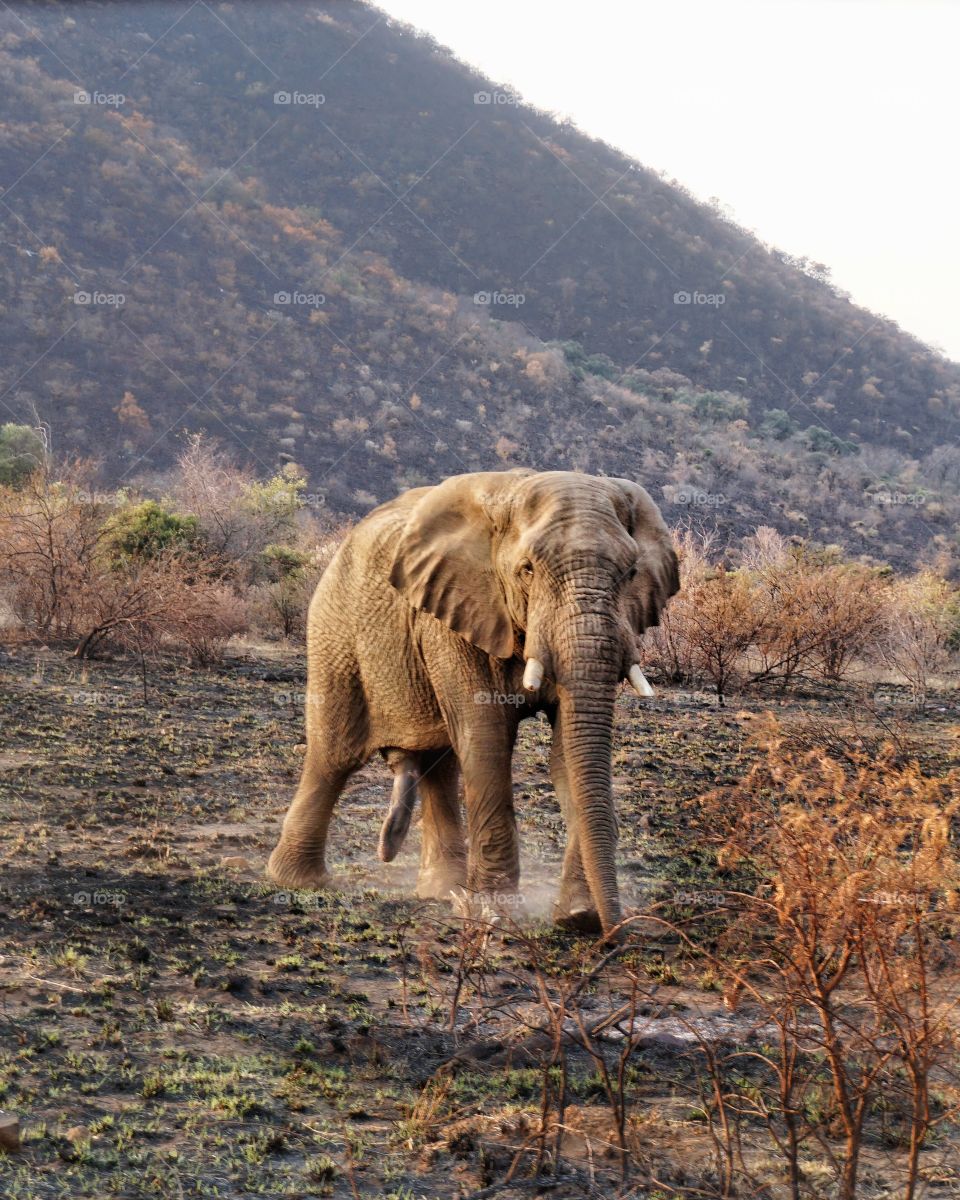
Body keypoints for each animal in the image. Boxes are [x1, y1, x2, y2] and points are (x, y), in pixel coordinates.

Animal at [267, 469, 679, 937]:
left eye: (631, 573)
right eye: (527, 570)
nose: (615, 931)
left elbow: (567, 755)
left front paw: (577, 917)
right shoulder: (456, 611)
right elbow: (487, 740)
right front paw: (496, 916)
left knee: (437, 761)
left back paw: (442, 890)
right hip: (333, 628)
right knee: (334, 754)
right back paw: (298, 881)